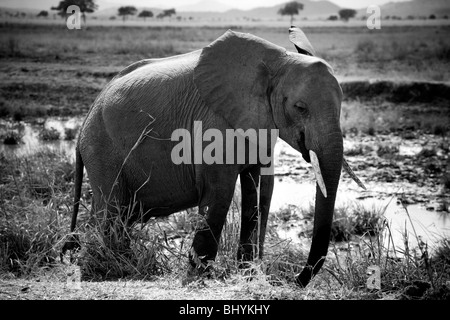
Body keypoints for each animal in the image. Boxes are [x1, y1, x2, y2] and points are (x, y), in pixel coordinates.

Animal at [63, 26, 366, 286]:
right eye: (300, 108)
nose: (294, 279)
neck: (277, 61)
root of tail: (84, 124)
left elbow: (259, 191)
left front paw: (247, 273)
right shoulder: (214, 122)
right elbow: (220, 193)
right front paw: (201, 275)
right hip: (102, 150)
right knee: (112, 213)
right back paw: (112, 268)